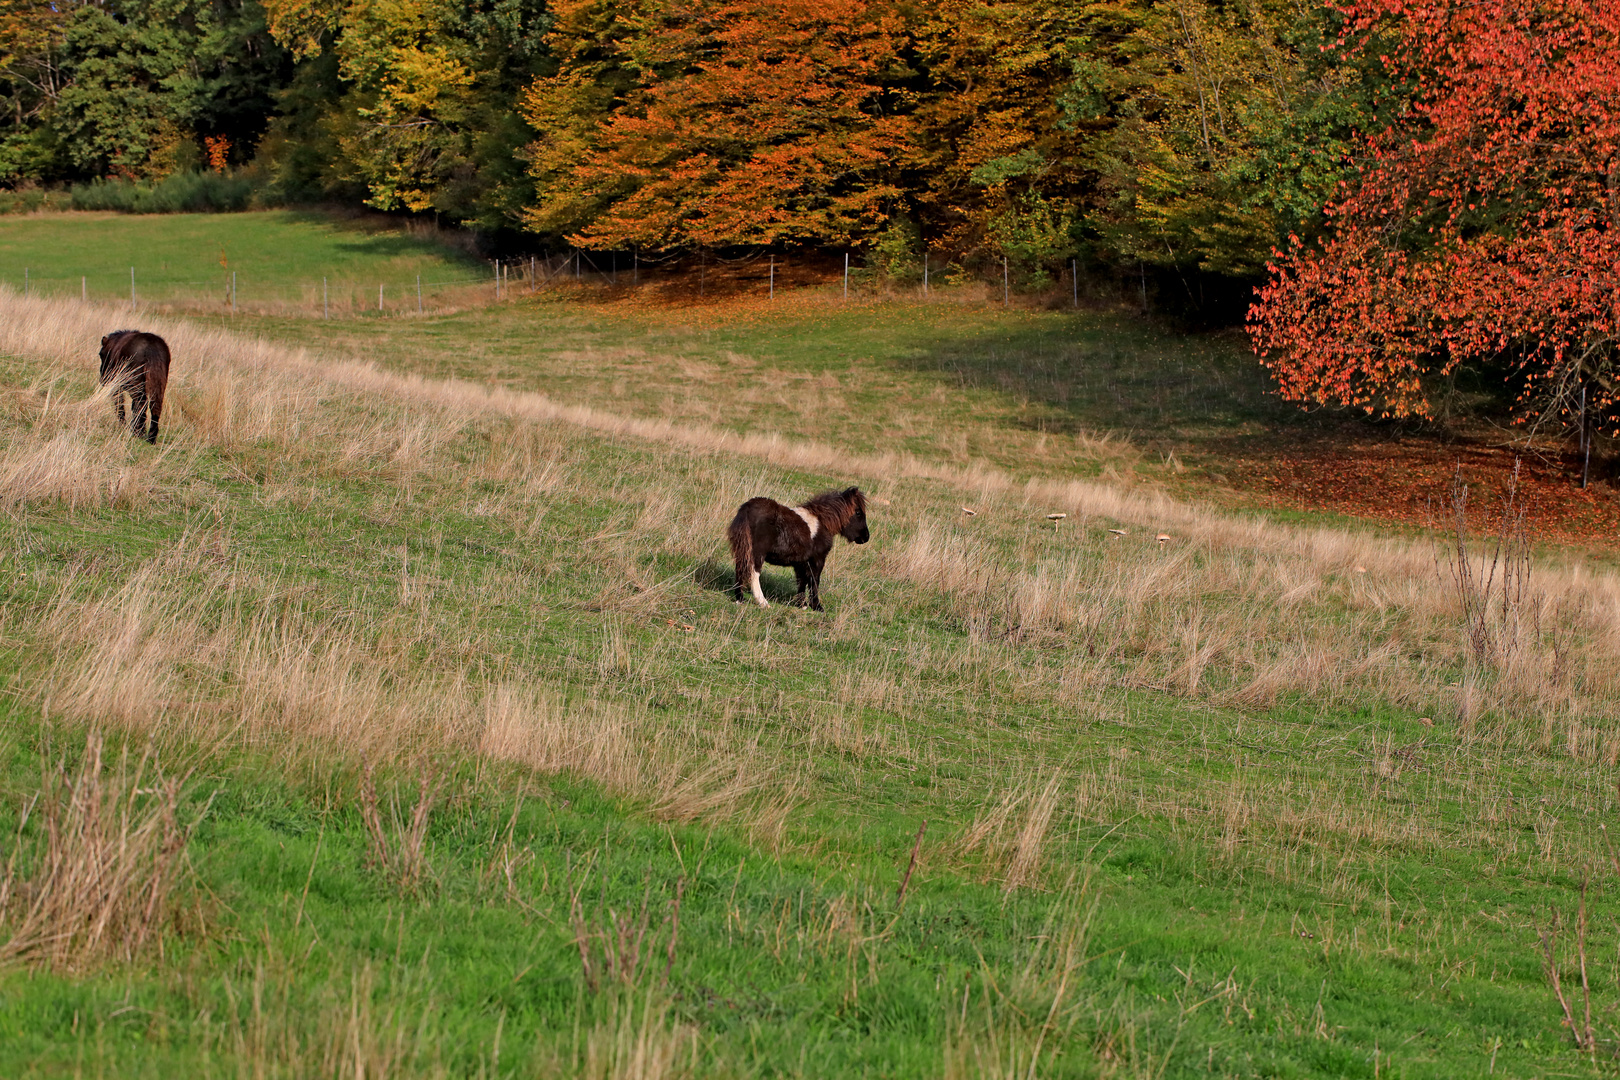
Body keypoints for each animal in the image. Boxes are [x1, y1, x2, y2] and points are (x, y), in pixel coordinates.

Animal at [729, 488, 868, 608]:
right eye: (858, 512)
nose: (866, 537)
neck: (822, 522)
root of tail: (748, 508)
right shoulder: (817, 560)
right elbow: (814, 581)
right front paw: (816, 606)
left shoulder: (801, 562)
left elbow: (802, 581)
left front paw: (802, 604)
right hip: (757, 553)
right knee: (753, 573)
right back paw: (762, 602)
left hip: (743, 549)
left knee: (740, 569)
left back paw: (739, 599)